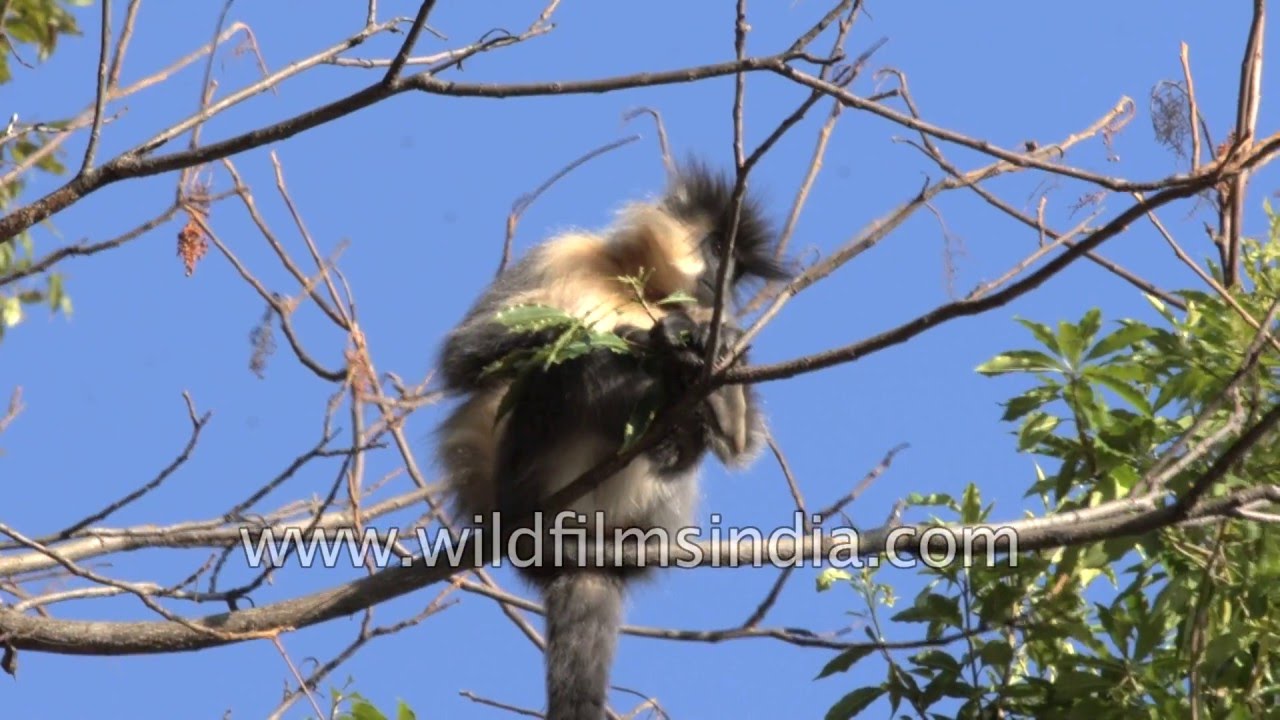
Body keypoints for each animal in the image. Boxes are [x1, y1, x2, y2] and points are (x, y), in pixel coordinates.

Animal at [434, 159, 787, 720]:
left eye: (736, 267)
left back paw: (691, 425)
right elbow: (464, 359)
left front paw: (709, 376)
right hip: (524, 473)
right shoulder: (562, 250)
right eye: (717, 247)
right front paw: (645, 343)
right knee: (558, 374)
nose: (723, 281)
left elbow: (740, 446)